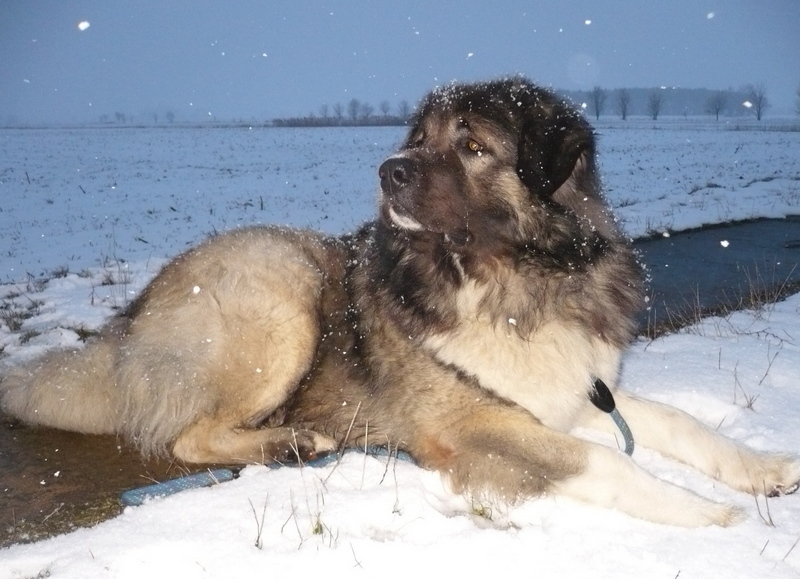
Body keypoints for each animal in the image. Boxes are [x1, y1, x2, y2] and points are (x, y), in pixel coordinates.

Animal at [2, 78, 798, 527]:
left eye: (472, 146)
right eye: (417, 139)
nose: (387, 170)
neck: (514, 276)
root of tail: (127, 322)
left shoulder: (577, 392)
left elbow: (687, 427)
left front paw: (762, 471)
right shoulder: (476, 424)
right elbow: (606, 465)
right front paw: (713, 516)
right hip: (284, 293)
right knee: (185, 436)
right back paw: (288, 441)